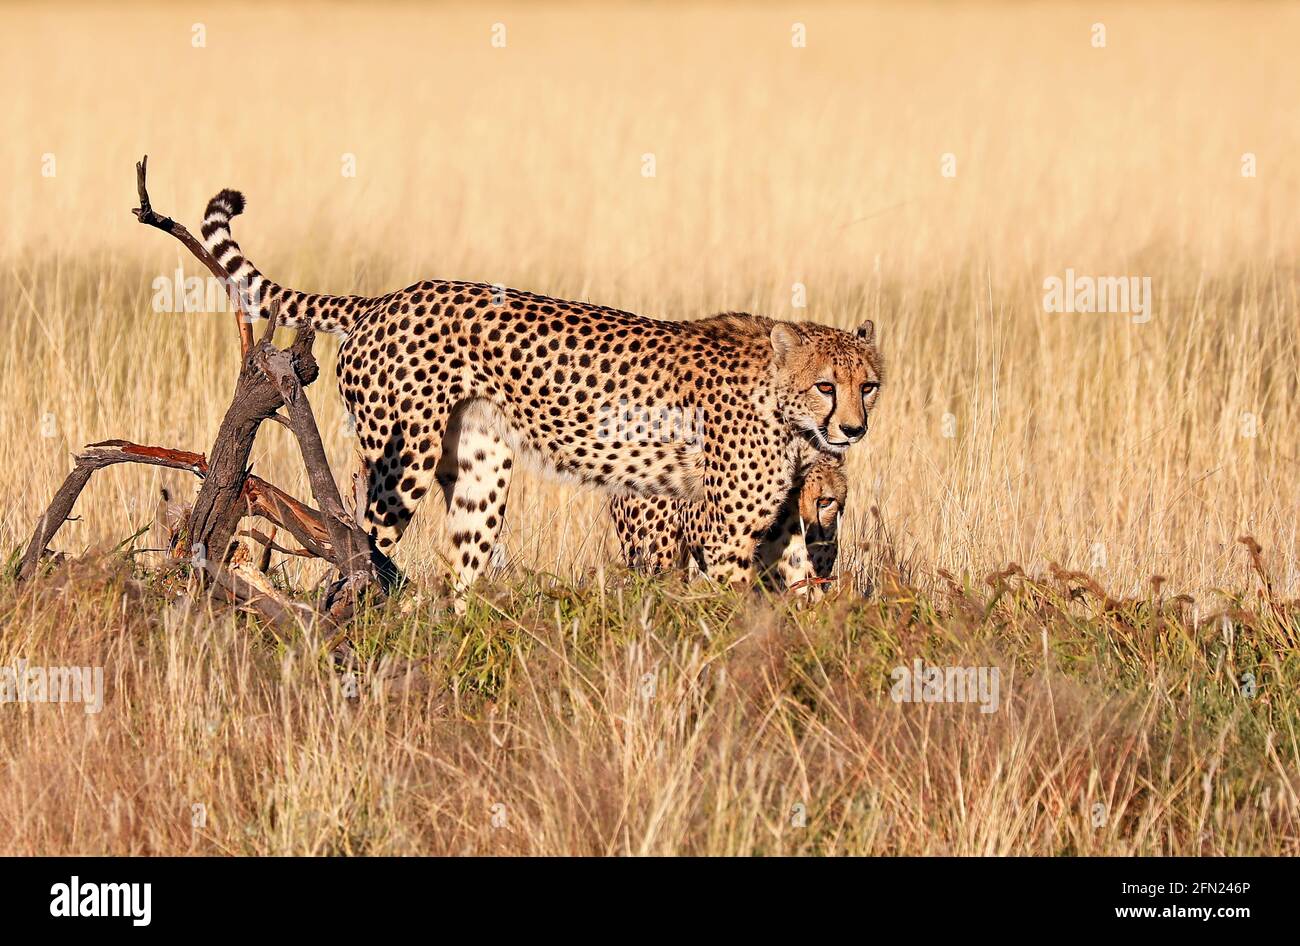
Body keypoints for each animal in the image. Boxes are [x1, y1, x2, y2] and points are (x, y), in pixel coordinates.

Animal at [200, 190, 883, 604]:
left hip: (481, 470)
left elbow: (797, 597)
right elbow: (729, 608)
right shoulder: (722, 533)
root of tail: (388, 296)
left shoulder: (782, 530)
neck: (785, 409)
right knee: (356, 541)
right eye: (826, 386)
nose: (854, 429)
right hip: (402, 461)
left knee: (460, 566)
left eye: (868, 386)